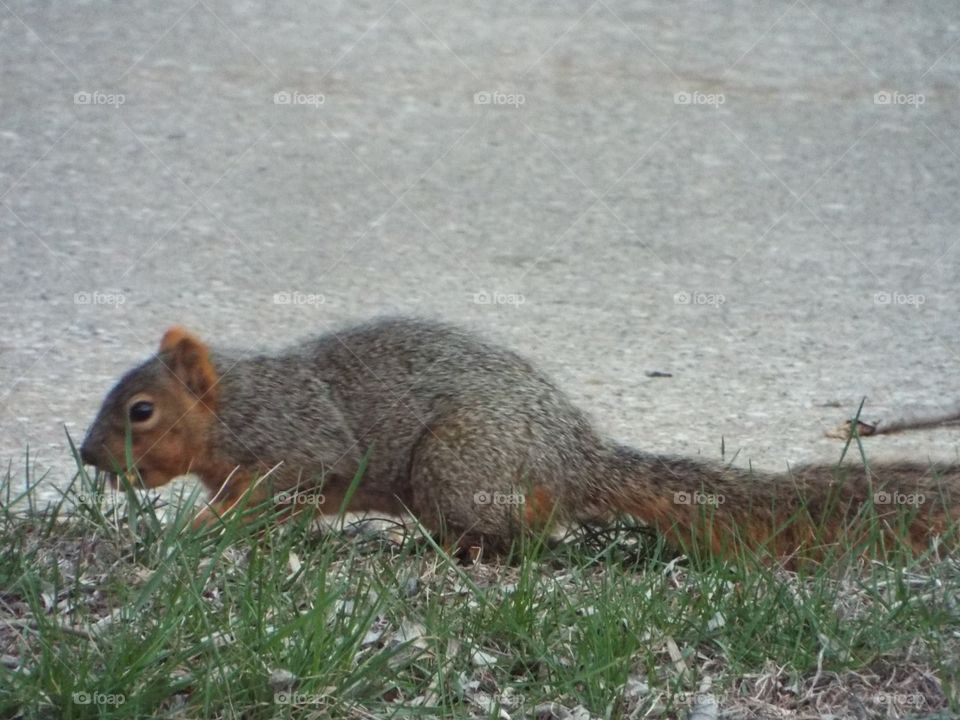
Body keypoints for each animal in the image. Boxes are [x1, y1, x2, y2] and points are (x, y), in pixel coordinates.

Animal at [79, 317, 960, 562]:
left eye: (141, 411)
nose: (86, 457)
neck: (231, 408)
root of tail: (574, 455)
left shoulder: (297, 442)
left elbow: (281, 491)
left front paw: (201, 529)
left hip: (457, 464)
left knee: (533, 531)